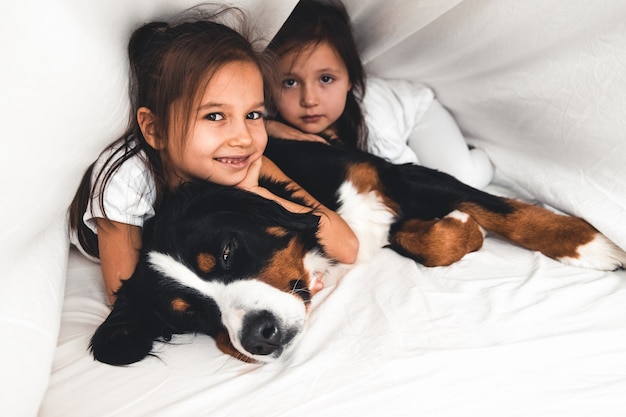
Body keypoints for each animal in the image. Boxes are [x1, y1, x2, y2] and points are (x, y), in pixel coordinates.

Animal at [89, 137, 624, 364]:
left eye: (225, 251)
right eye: (191, 316)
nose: (259, 337)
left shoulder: (390, 174)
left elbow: (502, 210)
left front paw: (588, 245)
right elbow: (426, 239)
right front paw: (460, 230)